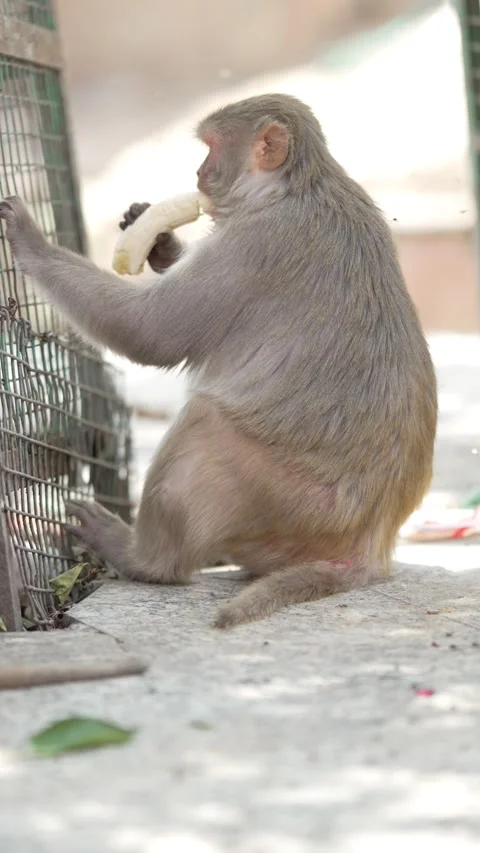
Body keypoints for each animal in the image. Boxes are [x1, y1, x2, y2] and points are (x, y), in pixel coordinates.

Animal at [0, 94, 437, 629]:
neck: (295, 185)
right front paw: (160, 242)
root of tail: (373, 543)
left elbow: (151, 335)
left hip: (286, 501)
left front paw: (29, 240)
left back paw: (144, 559)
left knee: (203, 420)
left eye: (210, 147)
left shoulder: (254, 244)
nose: (197, 172)